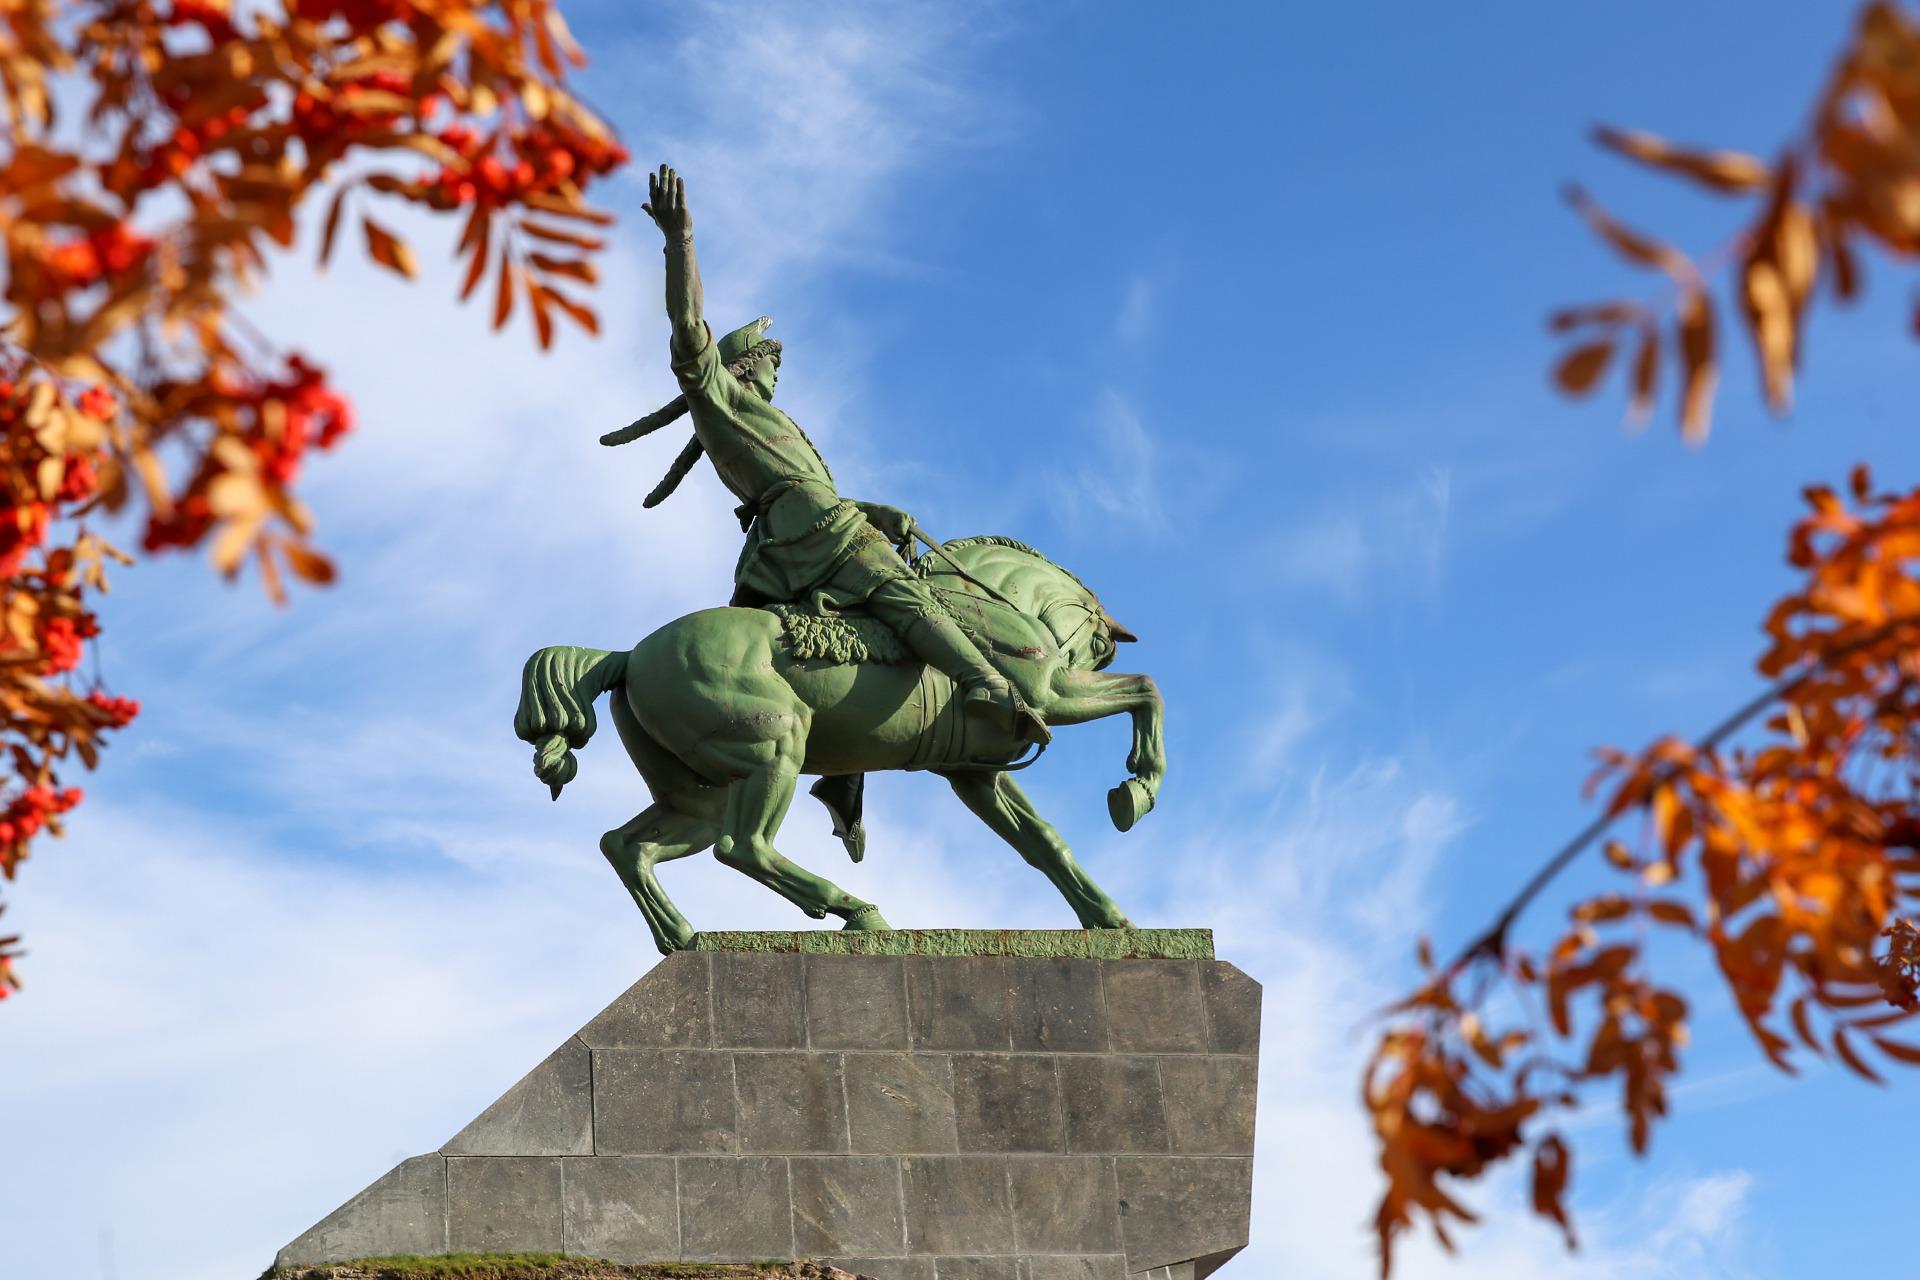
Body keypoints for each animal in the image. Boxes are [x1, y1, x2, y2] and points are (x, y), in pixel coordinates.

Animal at [514, 537, 1167, 955]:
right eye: (1098, 648)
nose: (1077, 653)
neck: (991, 604)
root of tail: (628, 656)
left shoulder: (974, 774)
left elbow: (1043, 842)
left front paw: (1108, 920)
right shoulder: (1051, 695)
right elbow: (1146, 689)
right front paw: (1136, 790)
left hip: (701, 797)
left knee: (628, 847)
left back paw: (682, 938)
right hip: (777, 745)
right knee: (743, 847)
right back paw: (857, 912)